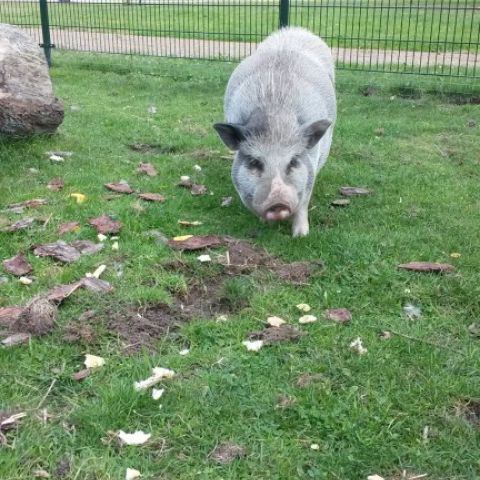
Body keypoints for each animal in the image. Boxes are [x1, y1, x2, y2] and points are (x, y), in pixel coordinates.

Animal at [214, 27, 336, 237]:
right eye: (255, 162)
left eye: (293, 161)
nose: (278, 203)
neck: (276, 121)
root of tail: (296, 30)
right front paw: (265, 224)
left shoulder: (311, 168)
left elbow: (303, 202)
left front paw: (301, 236)